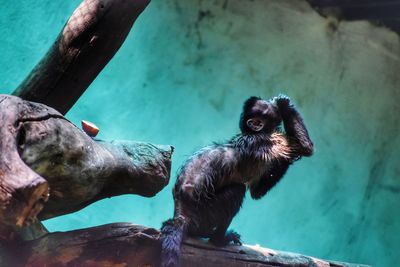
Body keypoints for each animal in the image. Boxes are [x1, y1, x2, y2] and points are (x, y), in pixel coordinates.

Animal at [161, 95, 314, 266]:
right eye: (256, 119)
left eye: (261, 118)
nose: (255, 124)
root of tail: (181, 214)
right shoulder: (265, 141)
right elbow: (305, 147)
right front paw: (283, 103)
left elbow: (257, 192)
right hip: (203, 216)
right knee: (237, 190)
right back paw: (218, 240)